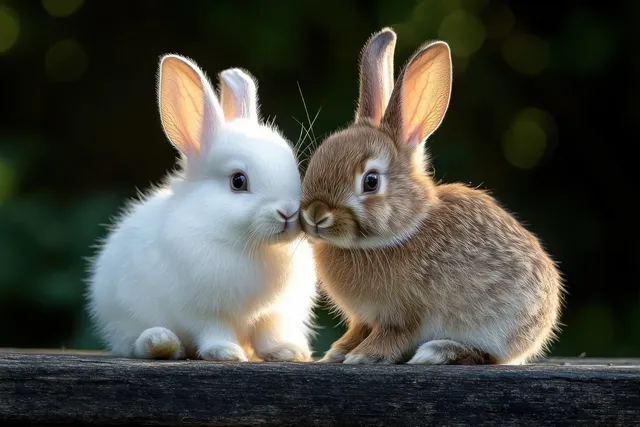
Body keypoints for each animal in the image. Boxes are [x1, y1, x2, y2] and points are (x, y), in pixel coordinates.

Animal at [86, 54, 317, 362]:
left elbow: (270, 333)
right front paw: (227, 353)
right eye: (238, 181)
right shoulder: (203, 311)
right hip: (125, 320)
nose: (288, 213)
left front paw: (289, 351)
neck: (250, 246)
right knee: (136, 344)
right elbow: (213, 331)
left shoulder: (274, 313)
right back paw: (161, 342)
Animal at [299, 28, 564, 365]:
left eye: (370, 181)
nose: (315, 214)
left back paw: (439, 351)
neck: (403, 231)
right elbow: (358, 330)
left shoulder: (405, 316)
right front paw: (339, 351)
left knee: (489, 357)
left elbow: (393, 337)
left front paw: (363, 356)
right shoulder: (363, 319)